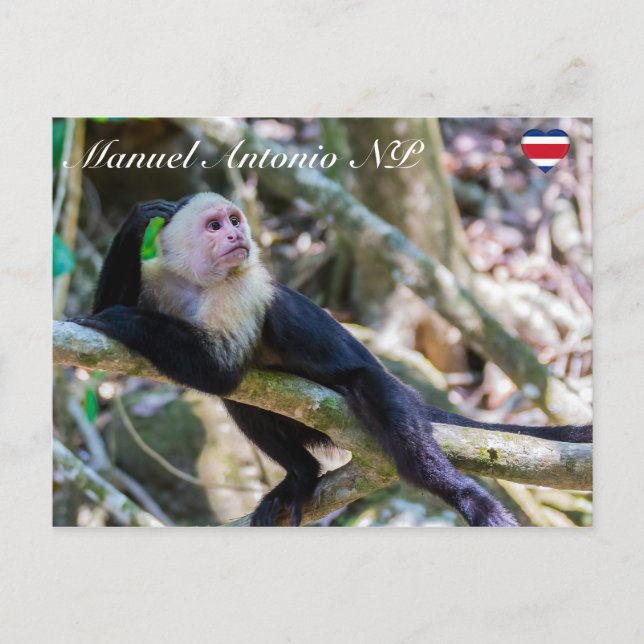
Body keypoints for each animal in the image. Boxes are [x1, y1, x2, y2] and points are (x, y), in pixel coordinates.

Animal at [71, 193, 592, 527]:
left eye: (235, 221)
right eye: (215, 226)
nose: (236, 236)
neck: (201, 284)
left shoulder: (243, 286)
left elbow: (220, 370)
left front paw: (120, 318)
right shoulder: (162, 278)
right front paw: (138, 221)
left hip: (384, 390)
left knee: (382, 404)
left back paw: (465, 497)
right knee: (245, 403)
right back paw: (302, 476)